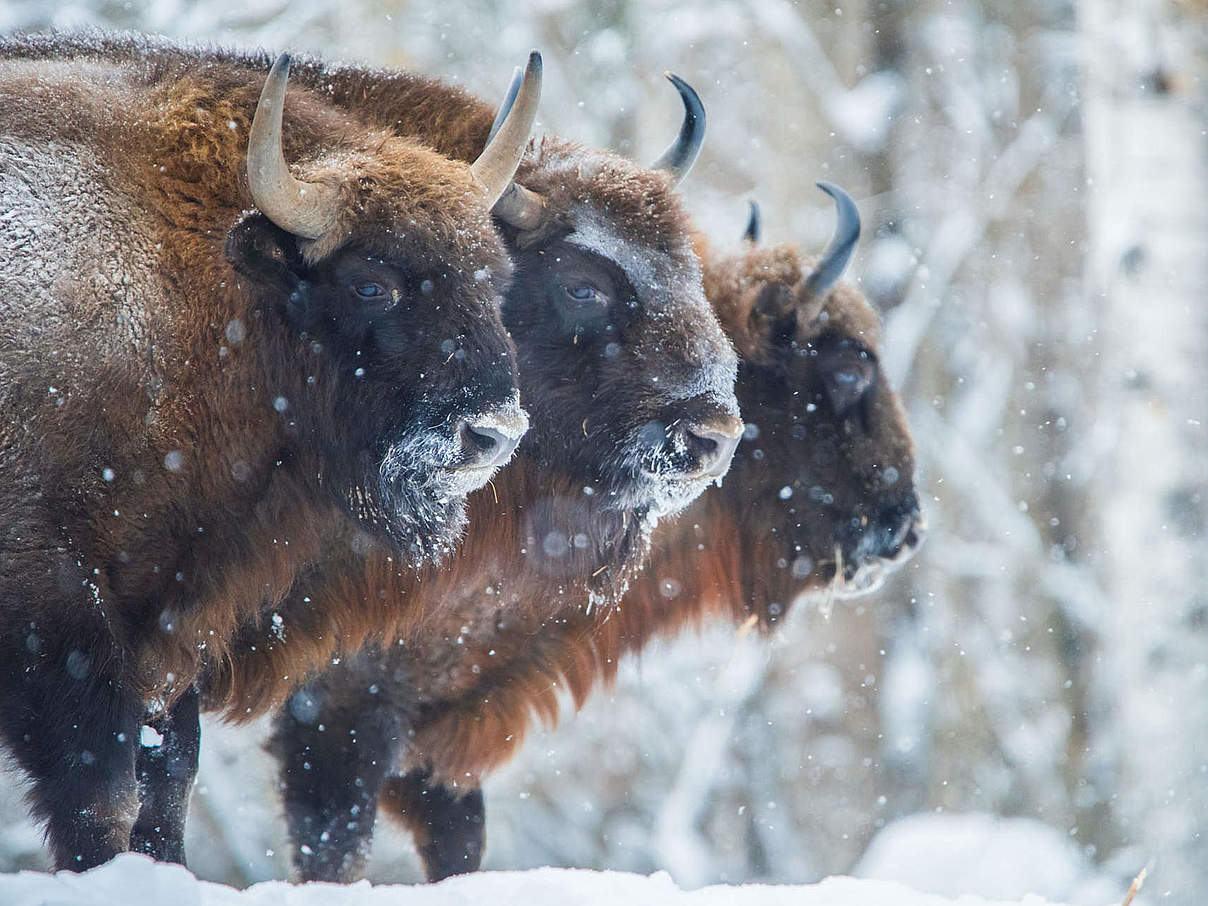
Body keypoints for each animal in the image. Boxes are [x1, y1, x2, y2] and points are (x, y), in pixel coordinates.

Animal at [0, 37, 538, 874]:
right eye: (372, 284)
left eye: (497, 279)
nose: (494, 433)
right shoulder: (53, 600)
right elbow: (103, 788)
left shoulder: (166, 616)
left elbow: (167, 777)